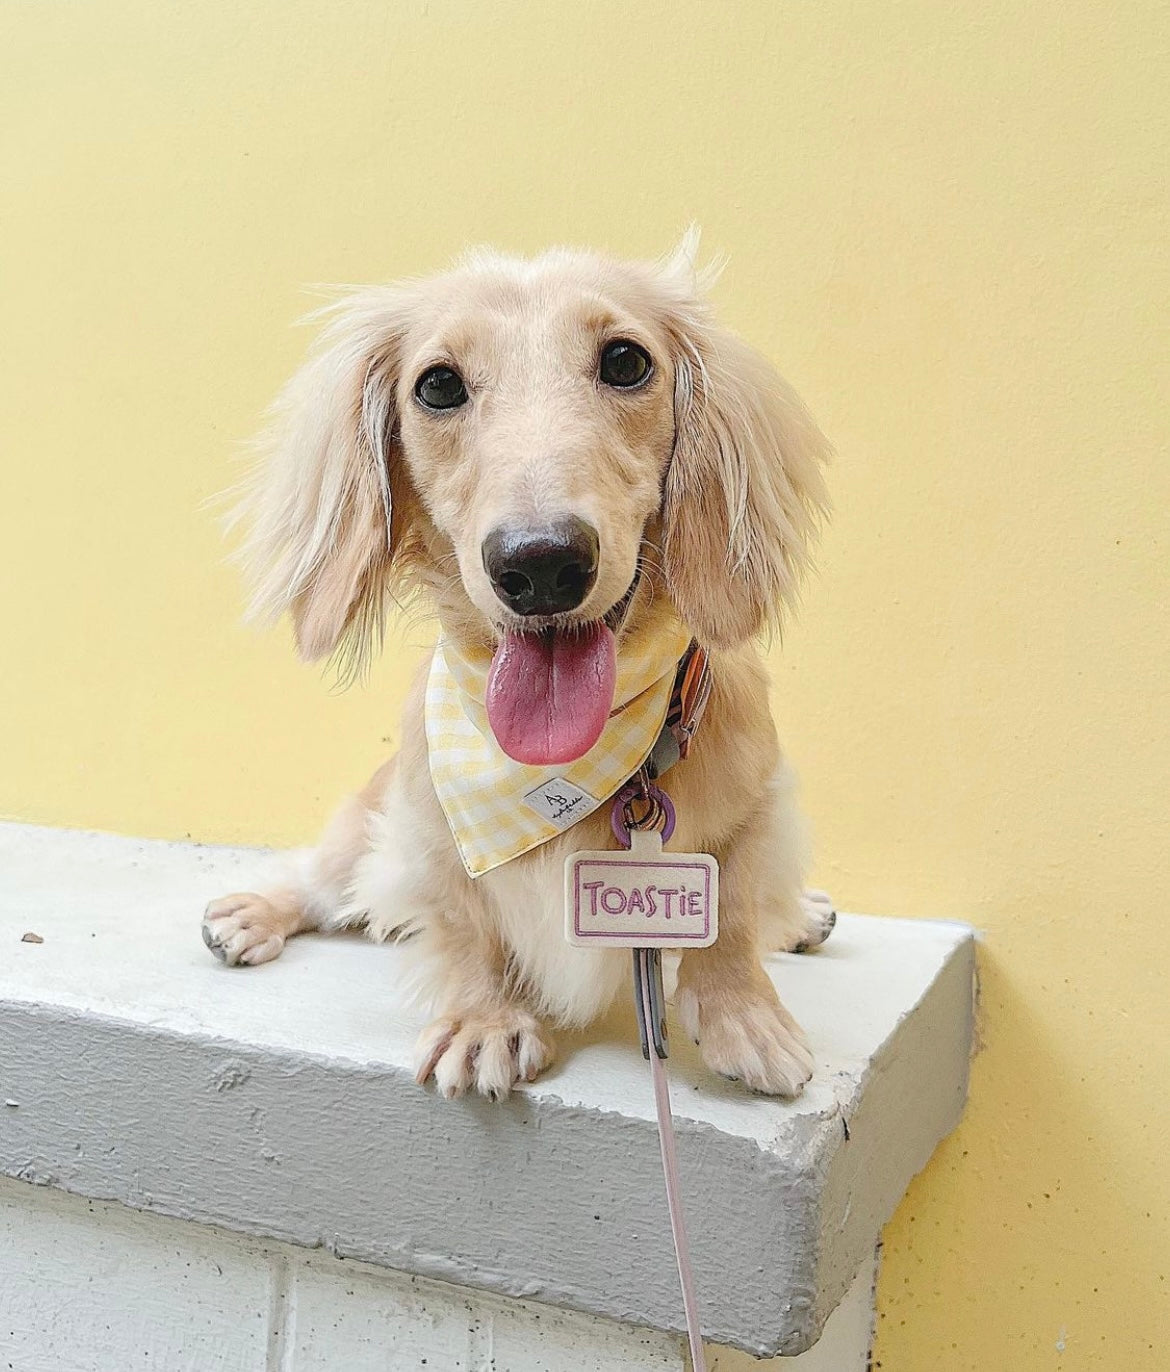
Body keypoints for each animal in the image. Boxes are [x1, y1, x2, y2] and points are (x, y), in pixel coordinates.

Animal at [200, 238, 828, 1103]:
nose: (541, 565)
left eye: (626, 361)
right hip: (361, 831)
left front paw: (746, 1016)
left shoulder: (761, 801)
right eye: (437, 385)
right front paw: (484, 1021)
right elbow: (465, 921)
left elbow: (731, 905)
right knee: (320, 881)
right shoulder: (427, 835)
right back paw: (255, 914)